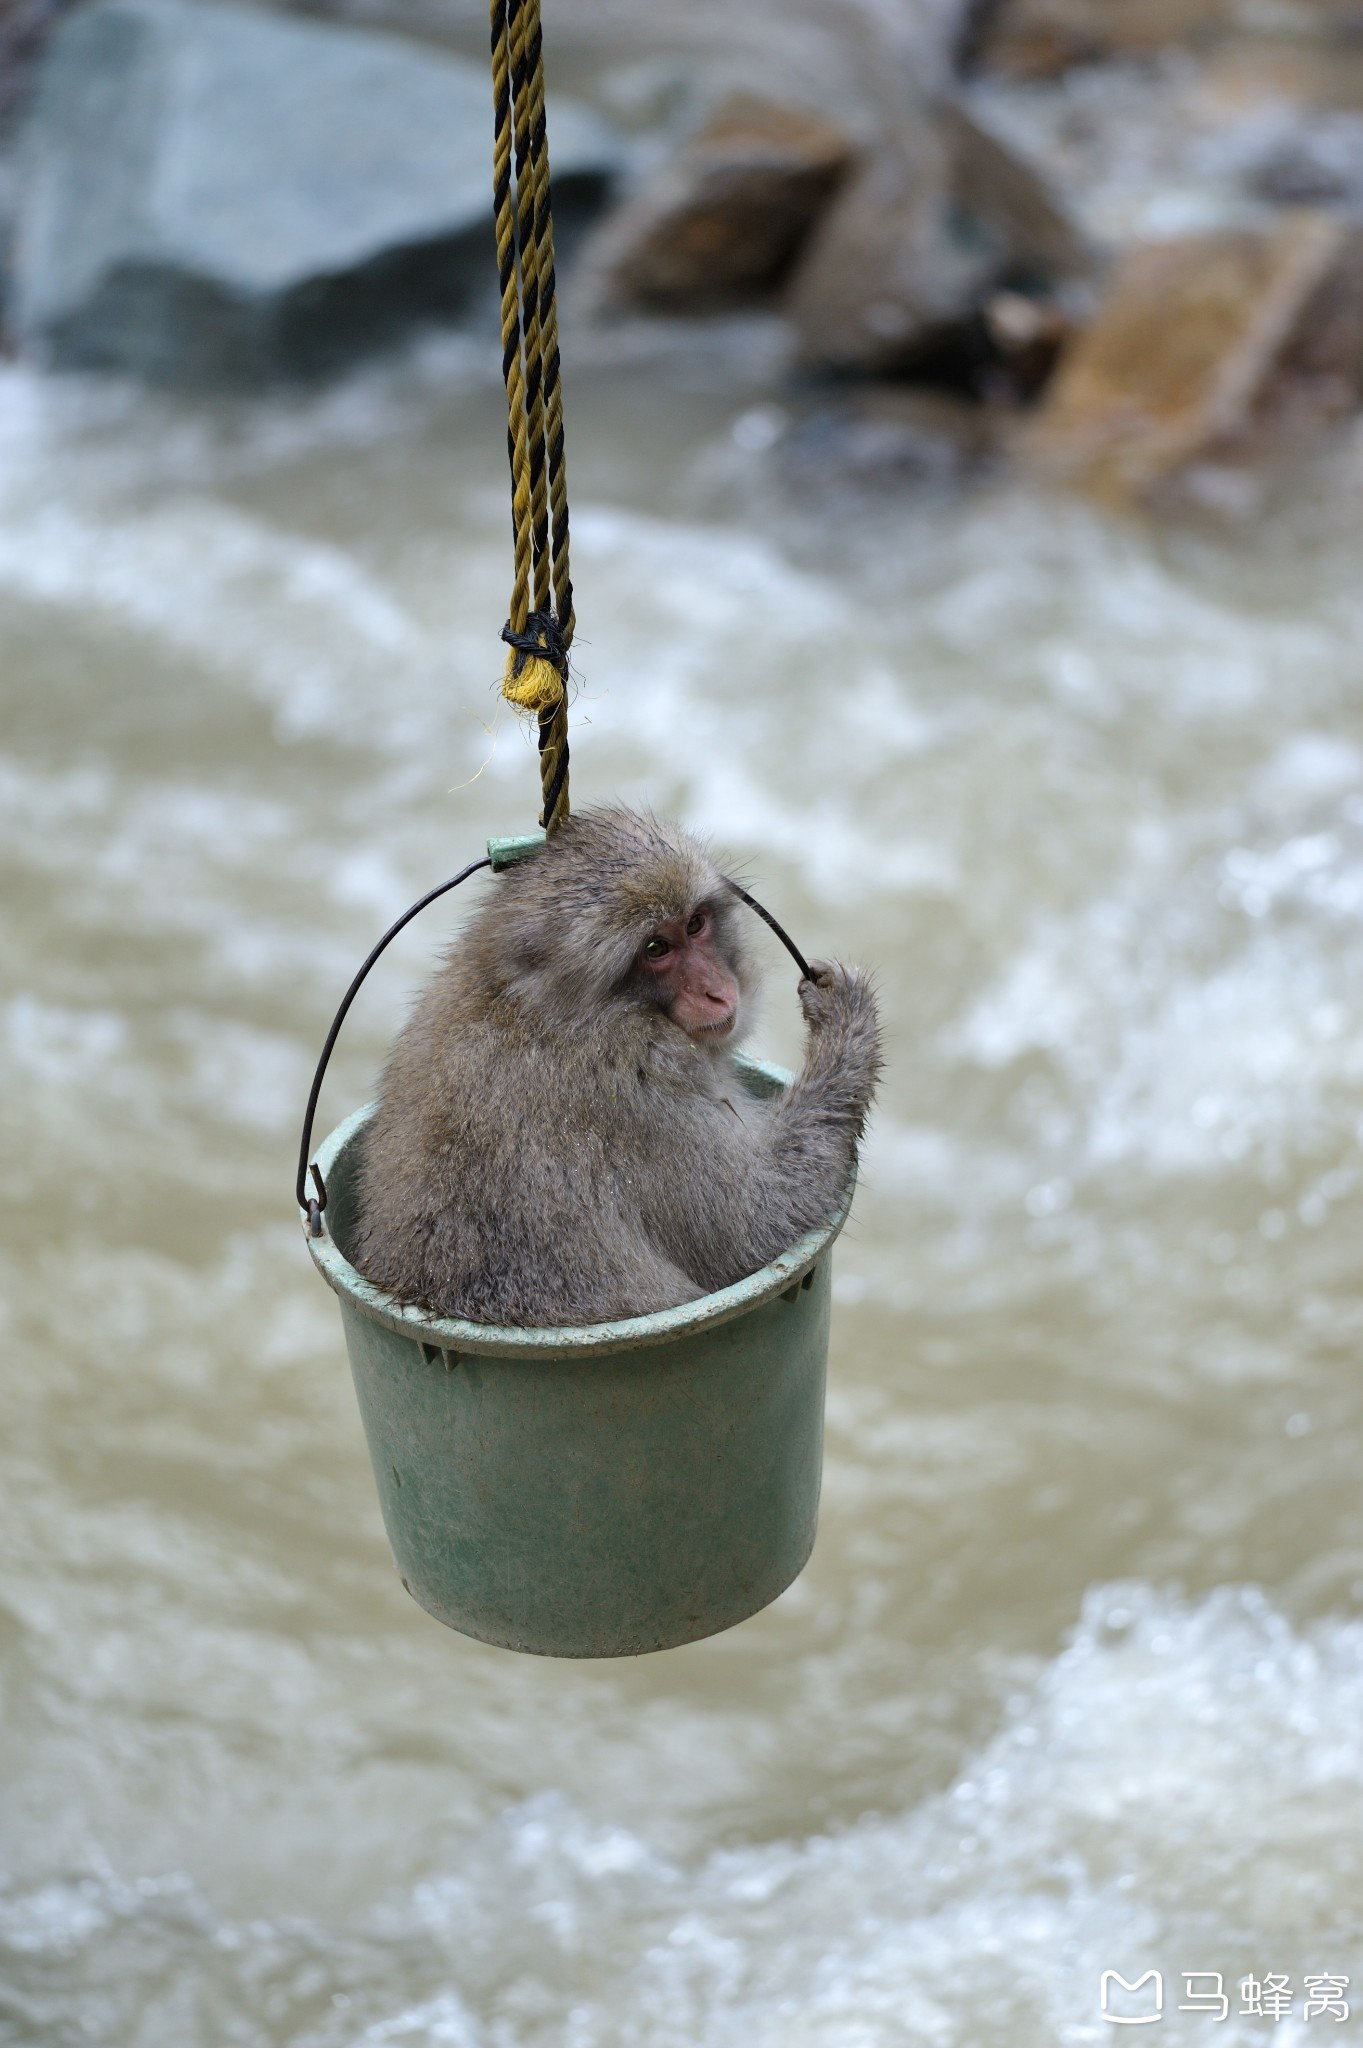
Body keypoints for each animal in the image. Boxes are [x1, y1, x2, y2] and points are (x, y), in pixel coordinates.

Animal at [349, 806, 880, 1335]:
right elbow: (756, 1226)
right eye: (655, 948)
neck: (543, 1006)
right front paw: (846, 1023)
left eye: (695, 924)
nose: (717, 991)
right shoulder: (639, 1080)